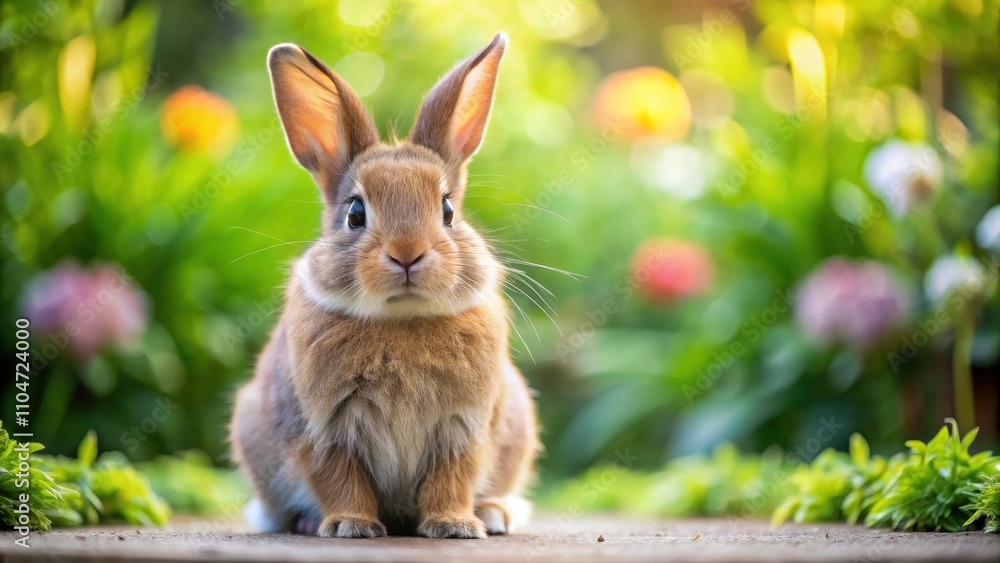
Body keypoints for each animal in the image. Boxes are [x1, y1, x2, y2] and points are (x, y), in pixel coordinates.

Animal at [229, 32, 539, 539]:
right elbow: (340, 479)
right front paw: (350, 526)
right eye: (356, 213)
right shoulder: (323, 429)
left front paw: (454, 525)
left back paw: (494, 514)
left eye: (447, 210)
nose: (407, 253)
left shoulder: (463, 427)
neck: (401, 318)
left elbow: (452, 477)